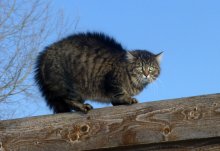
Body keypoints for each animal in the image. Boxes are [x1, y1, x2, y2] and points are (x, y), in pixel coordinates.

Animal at [34, 31, 162, 113]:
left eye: (151, 68)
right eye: (140, 68)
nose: (146, 74)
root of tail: (45, 53)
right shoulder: (112, 81)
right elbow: (120, 93)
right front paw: (128, 99)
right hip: (70, 86)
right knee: (67, 100)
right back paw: (83, 107)